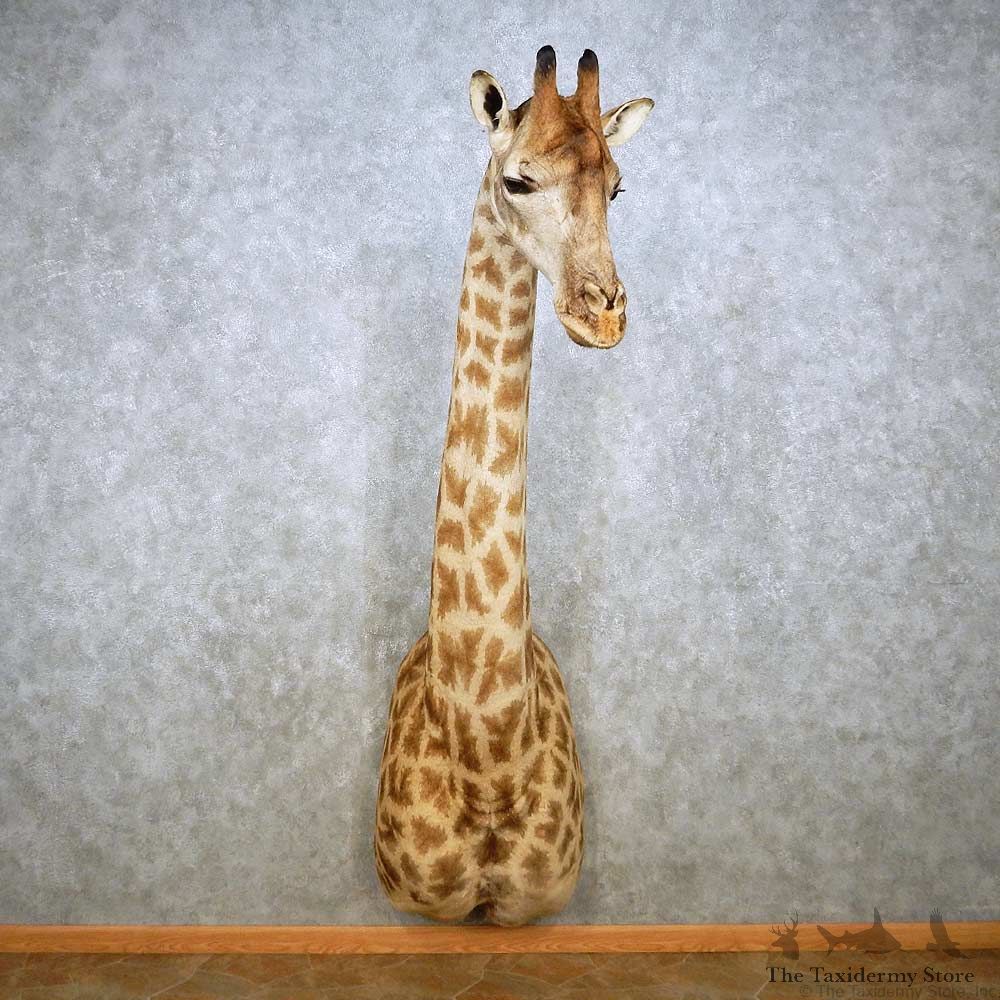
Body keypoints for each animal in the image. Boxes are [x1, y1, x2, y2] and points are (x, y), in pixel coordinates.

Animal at [374, 45, 654, 926]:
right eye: (519, 181)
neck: (489, 763)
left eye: (618, 187)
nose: (603, 314)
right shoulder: (426, 911)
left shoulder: (536, 907)